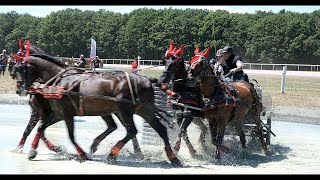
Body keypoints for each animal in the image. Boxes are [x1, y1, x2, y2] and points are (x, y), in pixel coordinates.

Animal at [12, 50, 181, 166]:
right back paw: (173, 157)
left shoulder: (66, 114)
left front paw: (82, 154)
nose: (20, 89)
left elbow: (71, 136)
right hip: (144, 111)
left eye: (22, 69)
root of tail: (147, 80)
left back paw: (112, 154)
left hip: (125, 110)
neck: (60, 80)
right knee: (160, 130)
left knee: (131, 131)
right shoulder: (58, 114)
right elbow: (41, 128)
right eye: (15, 68)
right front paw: (33, 151)